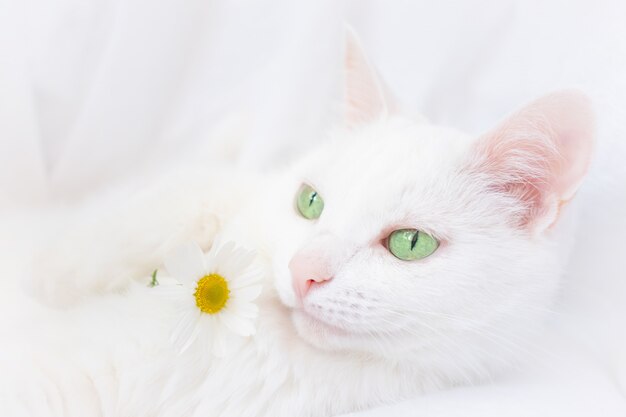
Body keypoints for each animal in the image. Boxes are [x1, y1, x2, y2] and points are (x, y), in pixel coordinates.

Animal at [0, 30, 592, 414]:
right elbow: (174, 199)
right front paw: (53, 272)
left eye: (410, 243)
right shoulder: (213, 193)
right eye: (310, 202)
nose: (303, 269)